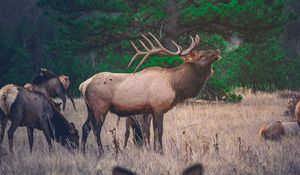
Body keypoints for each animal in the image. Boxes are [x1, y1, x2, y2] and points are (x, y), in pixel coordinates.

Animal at [79, 32, 220, 154]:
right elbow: (160, 131)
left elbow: (153, 131)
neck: (174, 85)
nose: (218, 51)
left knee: (85, 127)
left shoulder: (150, 110)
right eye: (201, 55)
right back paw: (101, 152)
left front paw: (155, 150)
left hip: (90, 108)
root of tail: (84, 85)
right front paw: (161, 151)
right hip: (100, 106)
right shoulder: (158, 106)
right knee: (96, 129)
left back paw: (83, 152)